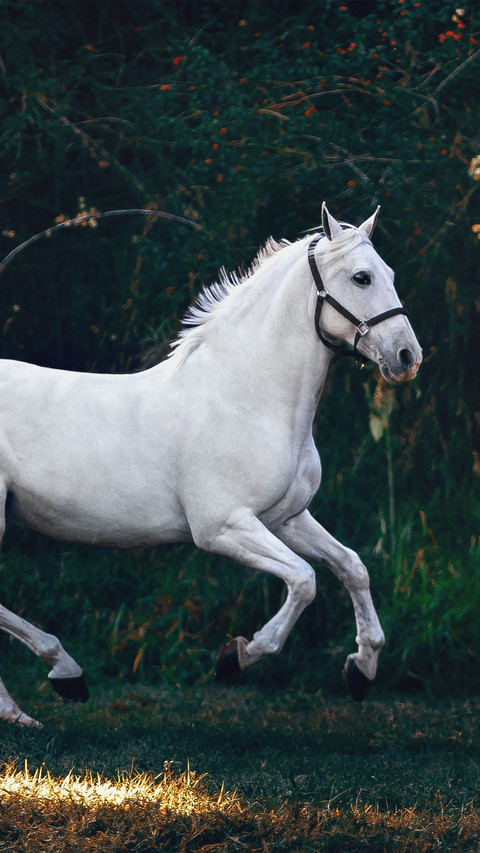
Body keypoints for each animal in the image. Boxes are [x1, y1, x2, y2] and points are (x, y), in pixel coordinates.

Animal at [0, 203, 422, 726]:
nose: (407, 357)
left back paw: (26, 706)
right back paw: (63, 674)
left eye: (389, 274)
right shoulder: (223, 527)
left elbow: (352, 566)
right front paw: (238, 655)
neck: (246, 396)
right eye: (362, 277)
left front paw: (361, 670)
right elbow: (304, 580)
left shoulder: (285, 518)